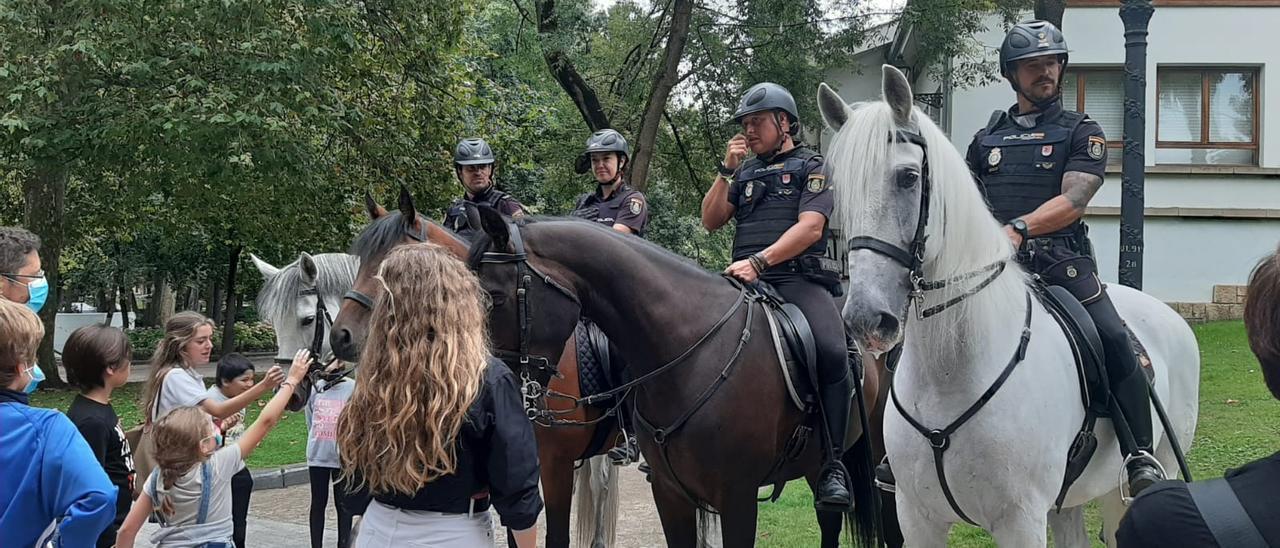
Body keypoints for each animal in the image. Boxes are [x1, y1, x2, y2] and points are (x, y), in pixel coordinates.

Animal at [819, 66, 1198, 545]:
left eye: (907, 177)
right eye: (839, 192)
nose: (867, 319)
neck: (951, 373)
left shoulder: (1020, 520)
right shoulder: (918, 517)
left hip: (1135, 482)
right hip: (1068, 501)